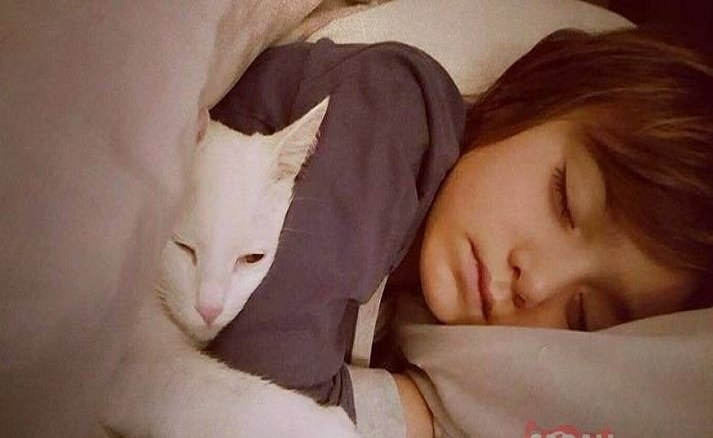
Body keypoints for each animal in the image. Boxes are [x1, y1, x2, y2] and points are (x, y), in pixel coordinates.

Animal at [99, 98, 360, 438]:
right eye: (182, 246)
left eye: (252, 258)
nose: (209, 309)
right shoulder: (128, 367)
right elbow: (226, 393)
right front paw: (324, 424)